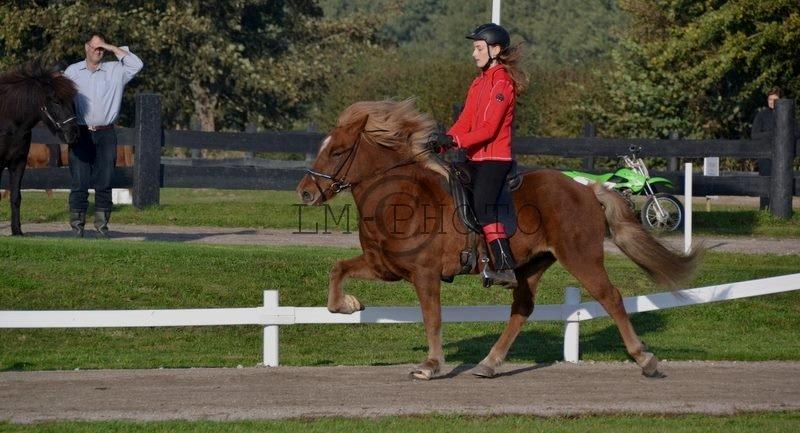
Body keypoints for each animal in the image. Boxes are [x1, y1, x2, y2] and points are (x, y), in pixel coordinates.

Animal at [296, 100, 700, 378]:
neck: (402, 198)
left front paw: (430, 364)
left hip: (581, 258)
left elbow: (432, 318)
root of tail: (587, 189)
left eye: (337, 151)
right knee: (522, 309)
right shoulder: (385, 267)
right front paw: (347, 305)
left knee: (611, 298)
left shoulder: (425, 274)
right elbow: (338, 269)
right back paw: (489, 363)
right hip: (531, 264)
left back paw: (645, 358)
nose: (305, 192)